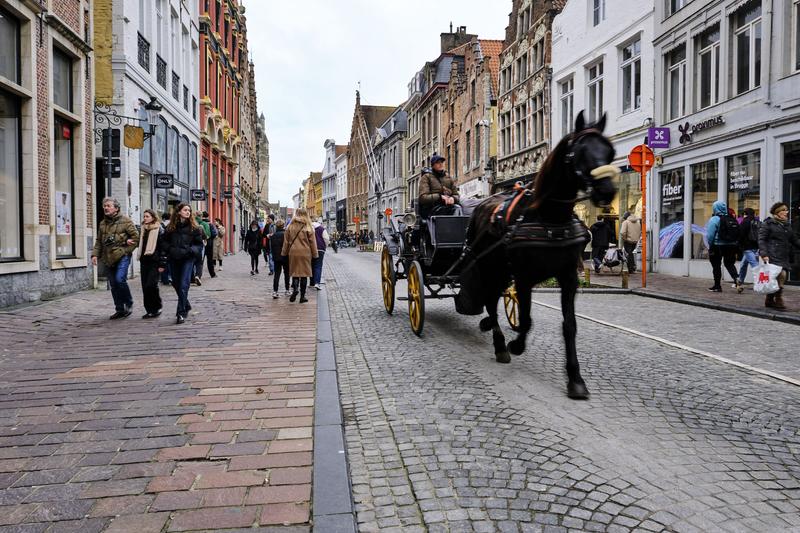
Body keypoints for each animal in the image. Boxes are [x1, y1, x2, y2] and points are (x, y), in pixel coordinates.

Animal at [462, 112, 620, 400]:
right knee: (490, 299)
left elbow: (569, 326)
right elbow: (526, 319)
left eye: (610, 151)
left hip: (502, 270)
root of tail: (481, 204)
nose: (606, 191)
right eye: (579, 152)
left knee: (493, 299)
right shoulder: (524, 277)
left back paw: (490, 327)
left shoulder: (568, 278)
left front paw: (575, 379)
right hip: (490, 266)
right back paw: (500, 345)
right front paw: (515, 345)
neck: (549, 217)